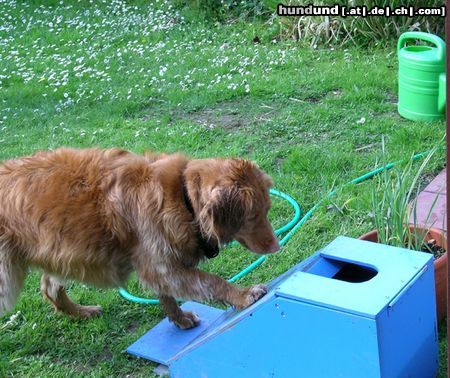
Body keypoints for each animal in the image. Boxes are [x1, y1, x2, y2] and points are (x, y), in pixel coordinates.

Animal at [0, 148, 280, 328]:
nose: (277, 247)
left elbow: (167, 297)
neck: (182, 197)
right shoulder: (160, 265)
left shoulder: (160, 266)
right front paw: (243, 295)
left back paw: (82, 312)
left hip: (63, 254)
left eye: (267, 209)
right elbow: (212, 281)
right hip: (7, 276)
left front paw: (180, 320)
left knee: (49, 287)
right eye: (254, 216)